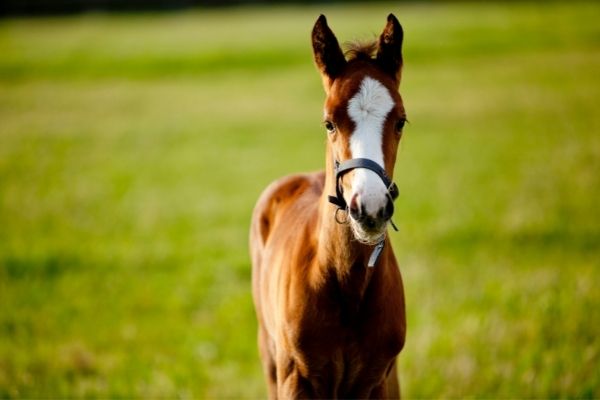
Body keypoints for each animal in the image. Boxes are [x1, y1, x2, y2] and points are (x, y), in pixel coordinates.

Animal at [248, 14, 408, 398]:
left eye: (401, 121)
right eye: (329, 123)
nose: (370, 208)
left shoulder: (379, 379)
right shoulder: (295, 378)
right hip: (270, 359)